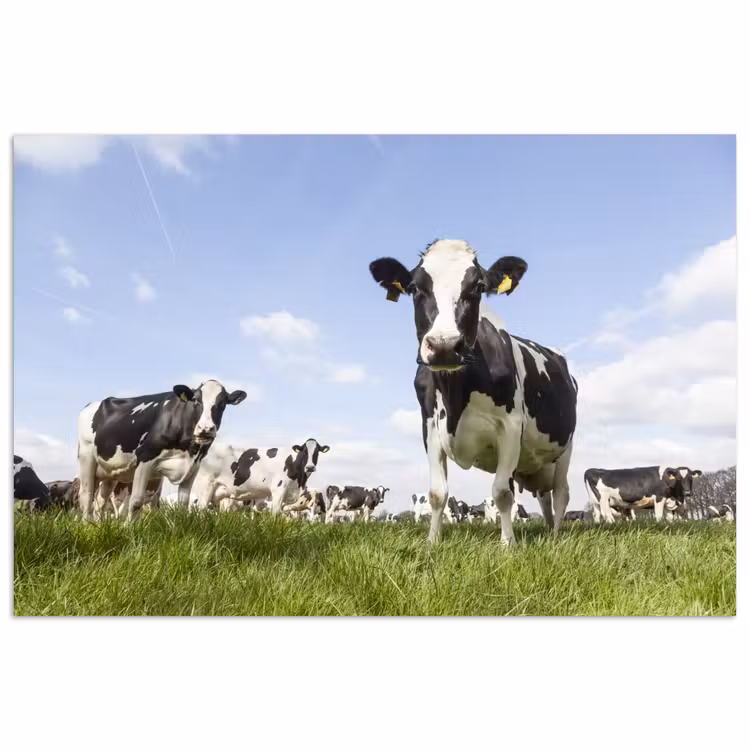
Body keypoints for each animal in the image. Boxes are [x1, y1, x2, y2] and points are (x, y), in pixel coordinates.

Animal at [77, 380, 247, 522]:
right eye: (196, 400)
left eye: (222, 403)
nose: (205, 429)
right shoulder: (145, 458)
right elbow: (136, 501)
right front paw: (129, 529)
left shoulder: (193, 466)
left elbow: (183, 503)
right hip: (86, 457)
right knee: (86, 495)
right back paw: (86, 525)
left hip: (110, 471)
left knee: (100, 500)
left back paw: (97, 524)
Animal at [193, 438, 330, 514]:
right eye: (304, 451)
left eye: (317, 451)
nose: (310, 467)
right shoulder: (278, 489)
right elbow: (276, 514)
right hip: (205, 486)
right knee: (200, 509)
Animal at [370, 239, 577, 546]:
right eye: (415, 288)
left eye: (478, 287)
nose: (444, 345)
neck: (457, 393)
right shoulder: (430, 426)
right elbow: (437, 493)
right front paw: (432, 543)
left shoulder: (511, 426)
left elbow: (502, 493)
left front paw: (508, 544)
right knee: (544, 497)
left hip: (565, 447)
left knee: (561, 493)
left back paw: (555, 536)